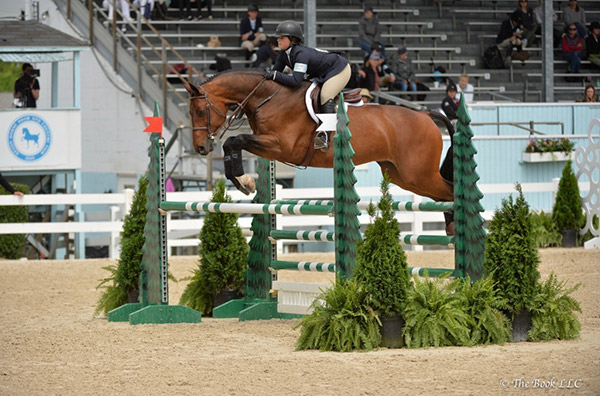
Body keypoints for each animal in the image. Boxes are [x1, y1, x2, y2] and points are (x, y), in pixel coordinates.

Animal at [185, 70, 452, 210]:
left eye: (199, 111)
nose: (201, 147)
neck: (267, 98)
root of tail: (425, 115)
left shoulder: (281, 146)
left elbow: (234, 140)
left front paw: (246, 182)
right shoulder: (269, 147)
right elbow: (233, 144)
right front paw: (244, 183)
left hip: (419, 174)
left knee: (451, 192)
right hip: (402, 176)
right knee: (442, 196)